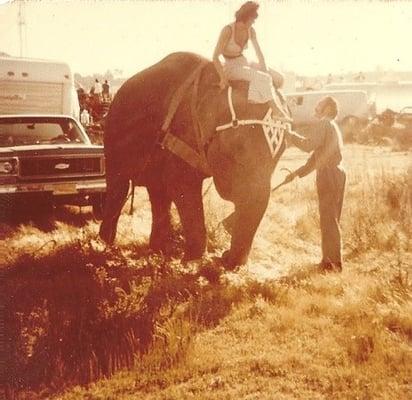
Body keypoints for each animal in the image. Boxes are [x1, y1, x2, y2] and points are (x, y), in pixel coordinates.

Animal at [100, 51, 290, 268]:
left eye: (282, 152)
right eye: (237, 148)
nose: (224, 257)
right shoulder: (180, 132)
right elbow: (182, 186)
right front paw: (192, 262)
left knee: (157, 192)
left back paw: (158, 250)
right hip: (112, 137)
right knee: (119, 186)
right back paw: (107, 245)